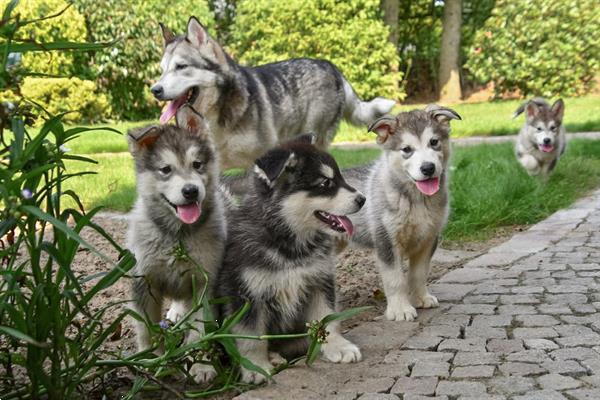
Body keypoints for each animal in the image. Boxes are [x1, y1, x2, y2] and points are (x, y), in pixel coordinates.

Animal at [127, 105, 226, 382]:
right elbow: (146, 329)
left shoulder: (205, 281)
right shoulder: (143, 281)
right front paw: (152, 362)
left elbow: (201, 328)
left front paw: (202, 366)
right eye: (165, 169)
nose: (191, 191)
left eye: (197, 164)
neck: (176, 236)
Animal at [346, 105, 460, 322]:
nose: (428, 168)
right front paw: (400, 309)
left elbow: (418, 274)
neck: (417, 200)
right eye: (406, 149)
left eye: (434, 142)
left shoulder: (428, 239)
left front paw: (421, 298)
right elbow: (395, 279)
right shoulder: (387, 241)